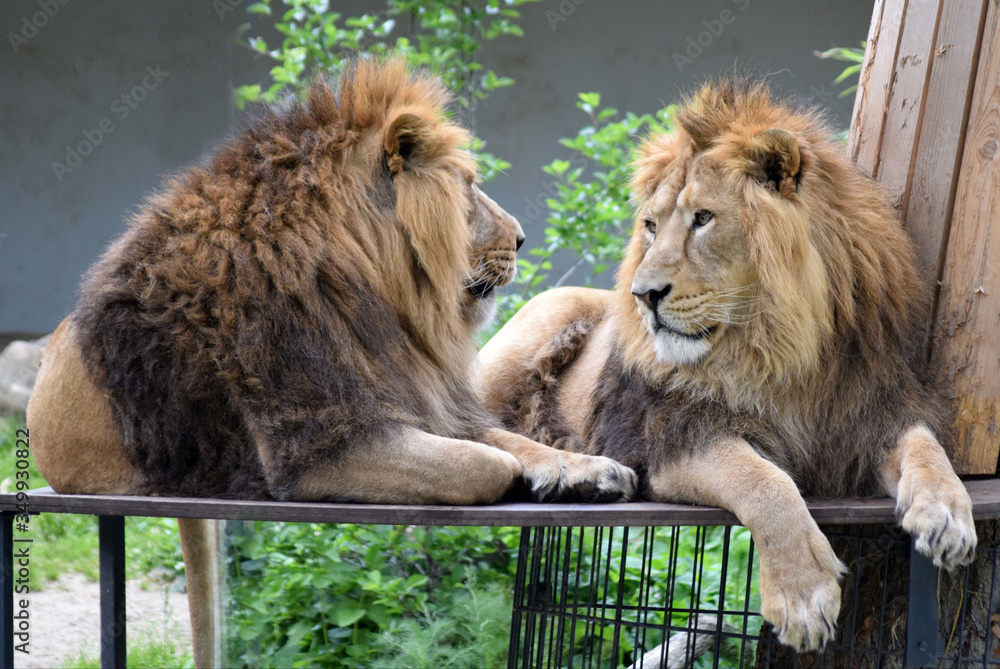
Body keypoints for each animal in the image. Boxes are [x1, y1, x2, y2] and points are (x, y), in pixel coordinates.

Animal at [26, 60, 636, 667]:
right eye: (468, 187)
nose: (522, 237)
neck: (373, 288)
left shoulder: (419, 403)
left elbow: (515, 441)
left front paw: (588, 470)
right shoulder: (317, 448)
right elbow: (484, 463)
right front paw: (523, 478)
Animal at [475, 78, 976, 652]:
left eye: (703, 219)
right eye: (651, 226)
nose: (643, 295)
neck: (781, 346)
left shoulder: (873, 411)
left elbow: (926, 446)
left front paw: (948, 515)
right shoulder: (670, 437)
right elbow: (764, 482)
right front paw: (803, 596)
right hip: (536, 327)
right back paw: (580, 471)